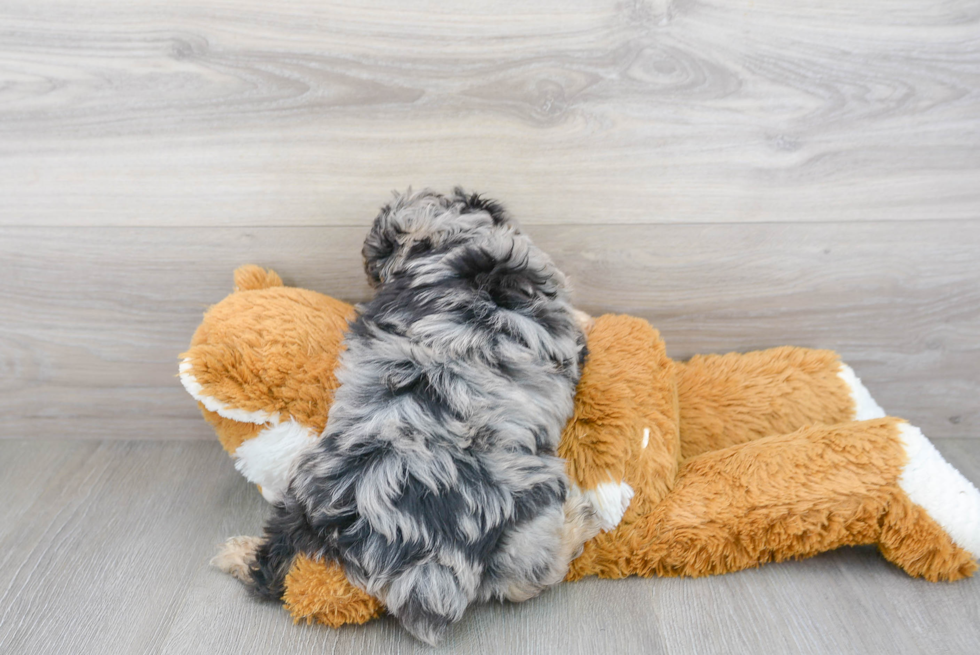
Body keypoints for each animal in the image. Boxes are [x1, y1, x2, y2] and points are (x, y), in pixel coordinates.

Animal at [216, 190, 596, 644]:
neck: (443, 239)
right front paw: (589, 317)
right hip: (527, 509)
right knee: (529, 577)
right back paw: (579, 521)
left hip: (298, 497)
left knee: (269, 563)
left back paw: (236, 553)